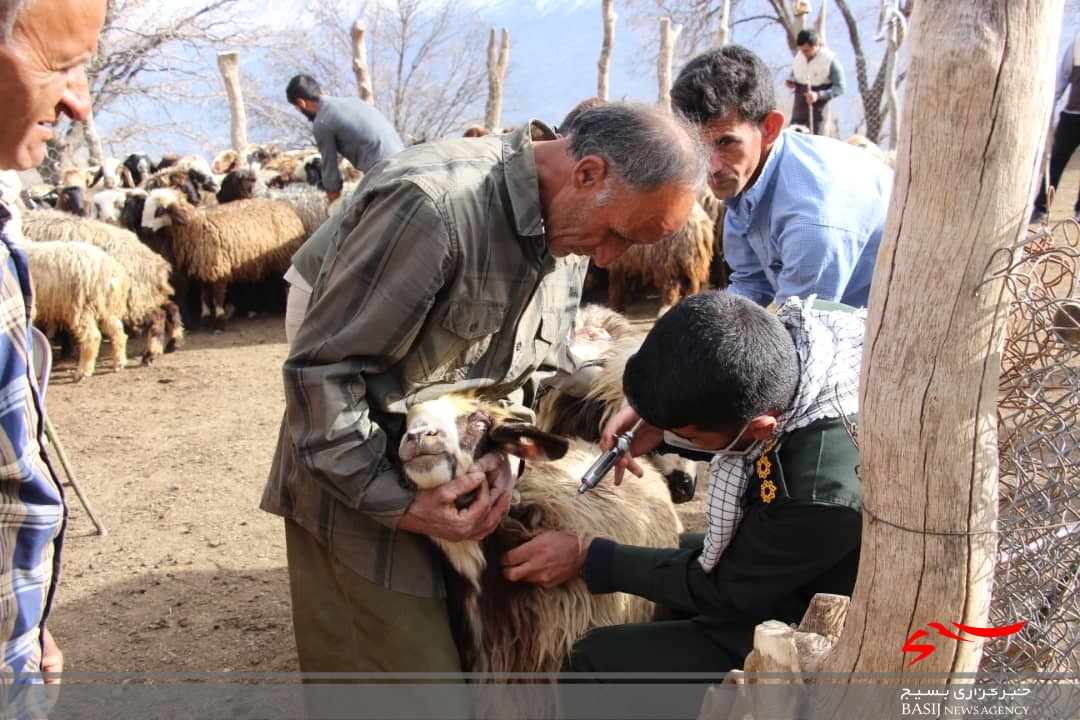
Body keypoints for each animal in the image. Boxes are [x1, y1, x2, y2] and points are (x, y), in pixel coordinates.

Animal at [23, 240, 129, 379]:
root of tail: (108, 268)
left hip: (81, 306)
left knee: (92, 337)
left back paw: (83, 372)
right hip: (105, 306)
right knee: (118, 331)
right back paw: (119, 363)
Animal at [141, 187, 306, 330]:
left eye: (159, 210)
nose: (143, 230)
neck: (195, 226)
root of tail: (285, 208)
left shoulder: (219, 268)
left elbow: (218, 295)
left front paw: (219, 322)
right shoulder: (203, 270)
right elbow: (204, 296)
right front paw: (205, 319)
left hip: (284, 257)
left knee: (287, 283)